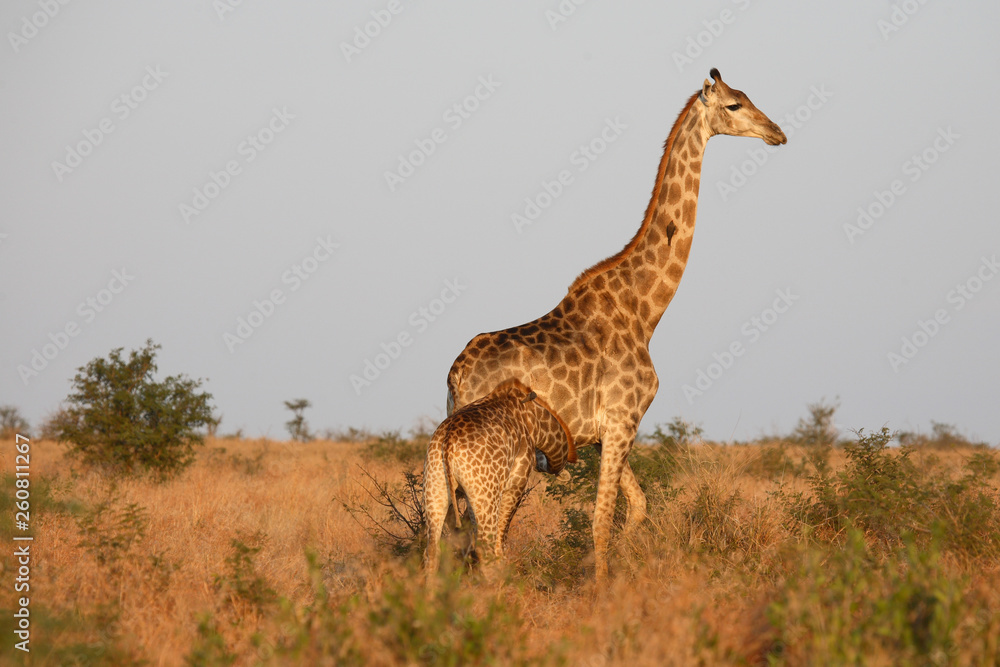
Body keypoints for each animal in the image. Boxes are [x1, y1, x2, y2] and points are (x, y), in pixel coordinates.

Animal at [423, 378, 574, 579]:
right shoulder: (517, 482)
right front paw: (504, 568)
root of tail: (447, 443)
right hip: (486, 494)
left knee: (432, 549)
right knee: (484, 548)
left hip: (436, 486)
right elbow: (502, 534)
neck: (529, 415)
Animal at [446, 69, 786, 582]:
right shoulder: (624, 417)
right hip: (506, 459)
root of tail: (458, 374)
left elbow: (638, 507)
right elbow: (602, 517)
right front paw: (602, 586)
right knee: (487, 539)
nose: (777, 133)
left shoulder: (604, 430)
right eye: (734, 105)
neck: (643, 311)